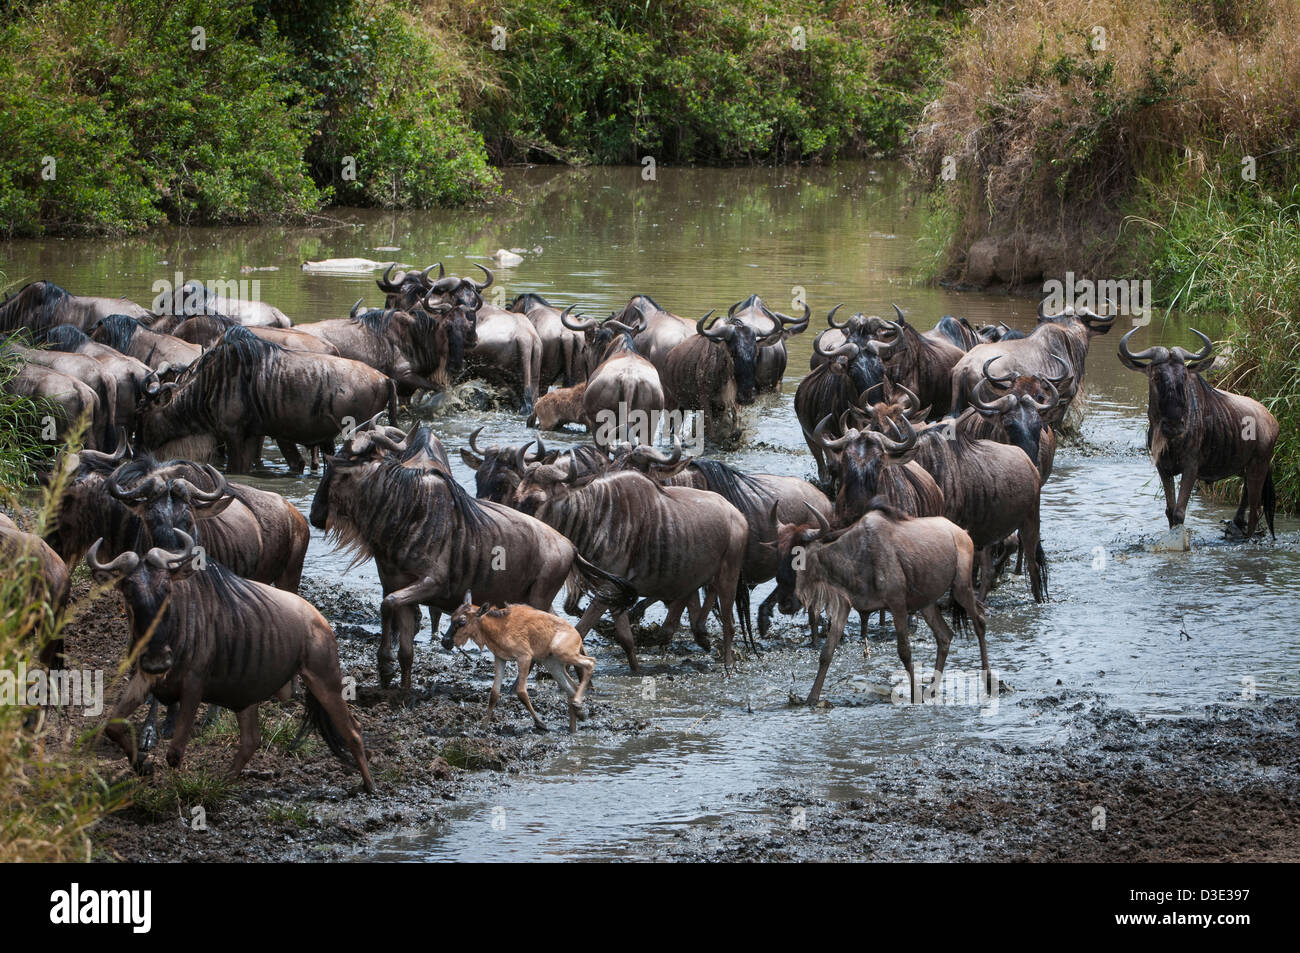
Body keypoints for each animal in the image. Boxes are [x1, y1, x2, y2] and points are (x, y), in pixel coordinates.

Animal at [441, 598, 595, 733]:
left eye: (462, 621)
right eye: (451, 617)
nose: (445, 642)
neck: (498, 626)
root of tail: (577, 636)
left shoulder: (524, 657)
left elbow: (521, 692)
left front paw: (540, 723)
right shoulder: (500, 658)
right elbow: (494, 693)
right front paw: (483, 725)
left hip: (564, 653)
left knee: (590, 662)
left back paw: (578, 706)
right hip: (553, 665)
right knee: (571, 687)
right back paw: (576, 721)